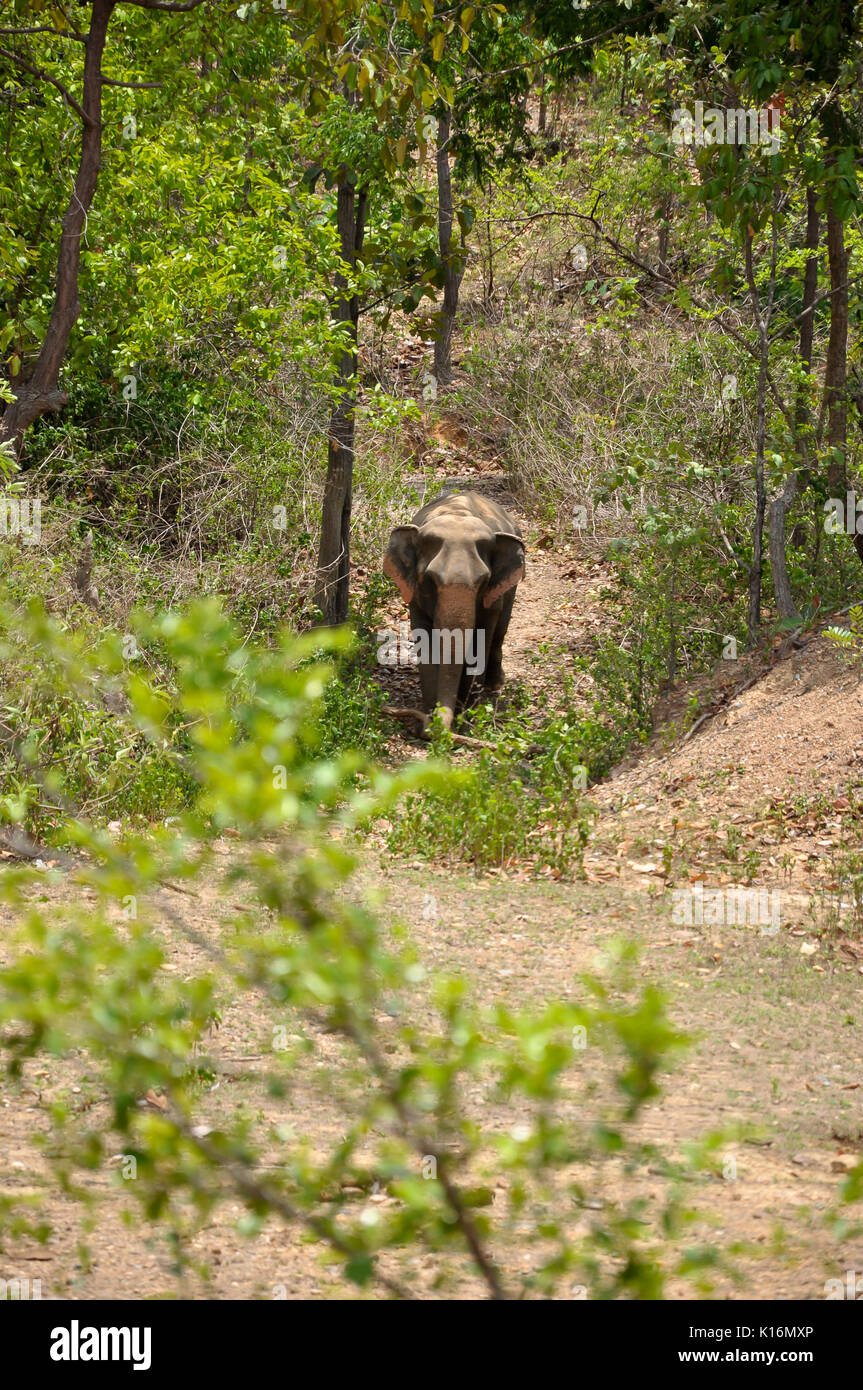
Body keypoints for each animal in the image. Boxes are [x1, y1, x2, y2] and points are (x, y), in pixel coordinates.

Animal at [383, 489, 525, 728]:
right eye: (430, 579)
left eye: (483, 581)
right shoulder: (416, 598)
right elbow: (425, 640)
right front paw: (432, 711)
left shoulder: (490, 601)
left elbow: (481, 640)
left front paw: (467, 713)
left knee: (500, 632)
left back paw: (494, 685)